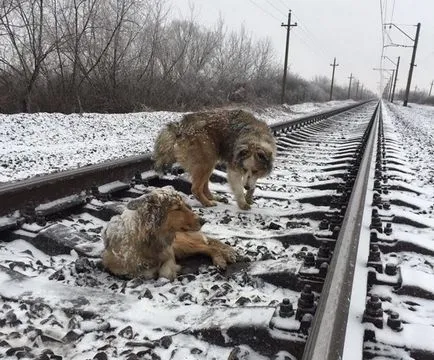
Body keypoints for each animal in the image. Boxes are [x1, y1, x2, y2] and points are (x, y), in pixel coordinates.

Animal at [101, 187, 237, 280]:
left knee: (209, 246)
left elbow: (164, 273)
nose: (203, 221)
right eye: (177, 208)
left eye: (185, 206)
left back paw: (222, 258)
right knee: (208, 245)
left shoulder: (169, 254)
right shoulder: (116, 267)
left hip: (181, 244)